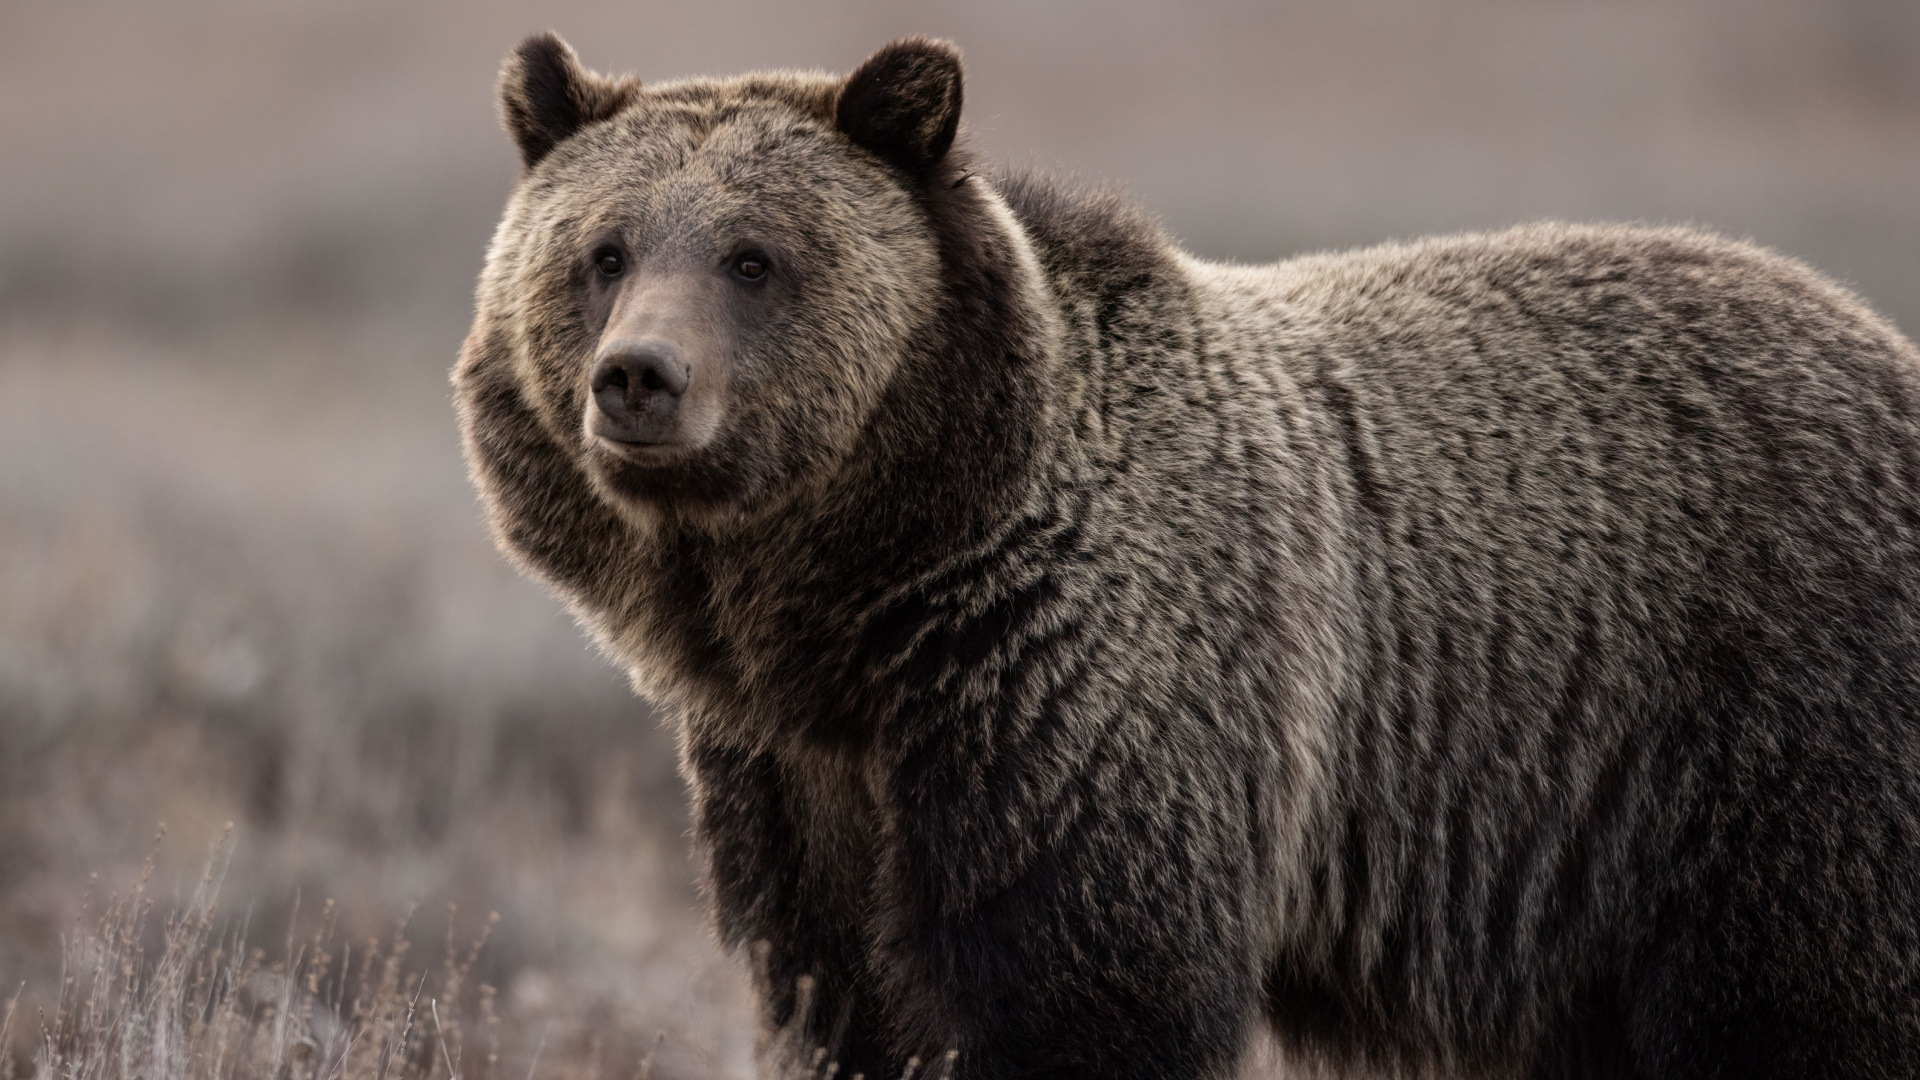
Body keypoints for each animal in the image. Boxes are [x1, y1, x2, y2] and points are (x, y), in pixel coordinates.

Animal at [453, 32, 1920, 1080]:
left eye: (755, 256)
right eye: (603, 250)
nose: (639, 380)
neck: (865, 594)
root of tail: (1881, 342)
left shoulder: (1087, 702)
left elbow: (1089, 992)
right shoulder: (799, 780)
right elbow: (847, 1000)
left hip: (1761, 750)